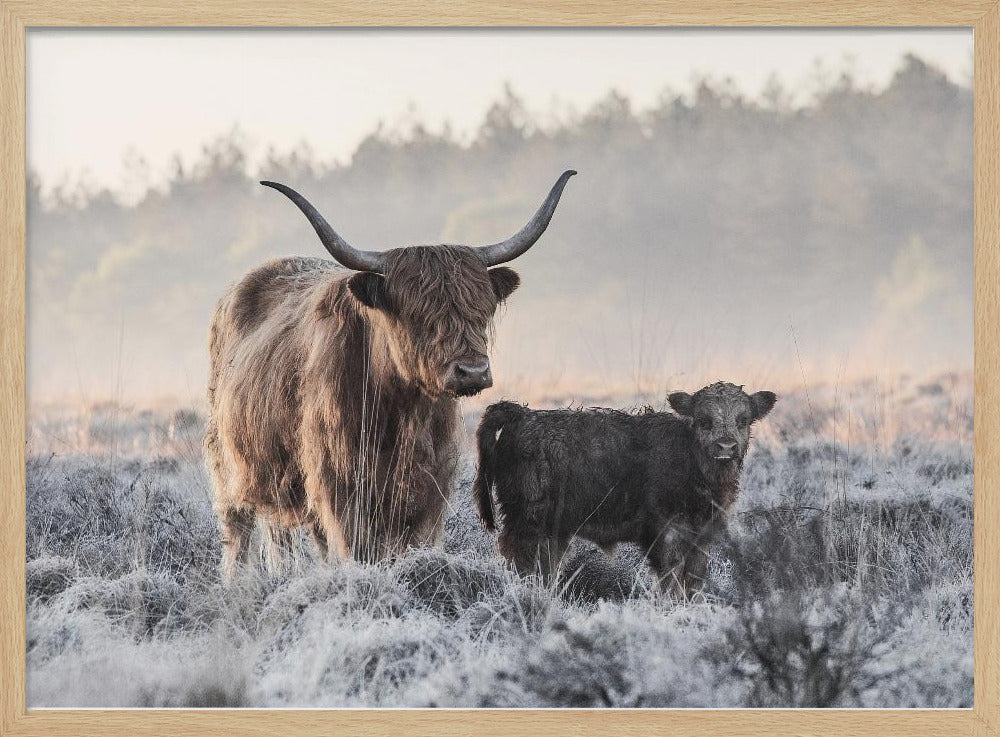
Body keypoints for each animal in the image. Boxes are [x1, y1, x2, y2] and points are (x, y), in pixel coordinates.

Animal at [205, 171, 576, 579]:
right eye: (418, 315)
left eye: (481, 310)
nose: (472, 371)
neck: (401, 411)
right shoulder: (341, 487)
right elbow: (357, 550)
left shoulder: (430, 489)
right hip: (229, 465)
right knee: (238, 532)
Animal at [473, 382, 776, 598]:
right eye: (703, 420)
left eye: (743, 420)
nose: (726, 446)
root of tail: (522, 415)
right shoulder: (667, 533)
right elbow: (672, 578)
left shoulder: (701, 536)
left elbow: (694, 580)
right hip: (527, 520)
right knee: (520, 560)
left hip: (553, 531)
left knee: (545, 566)